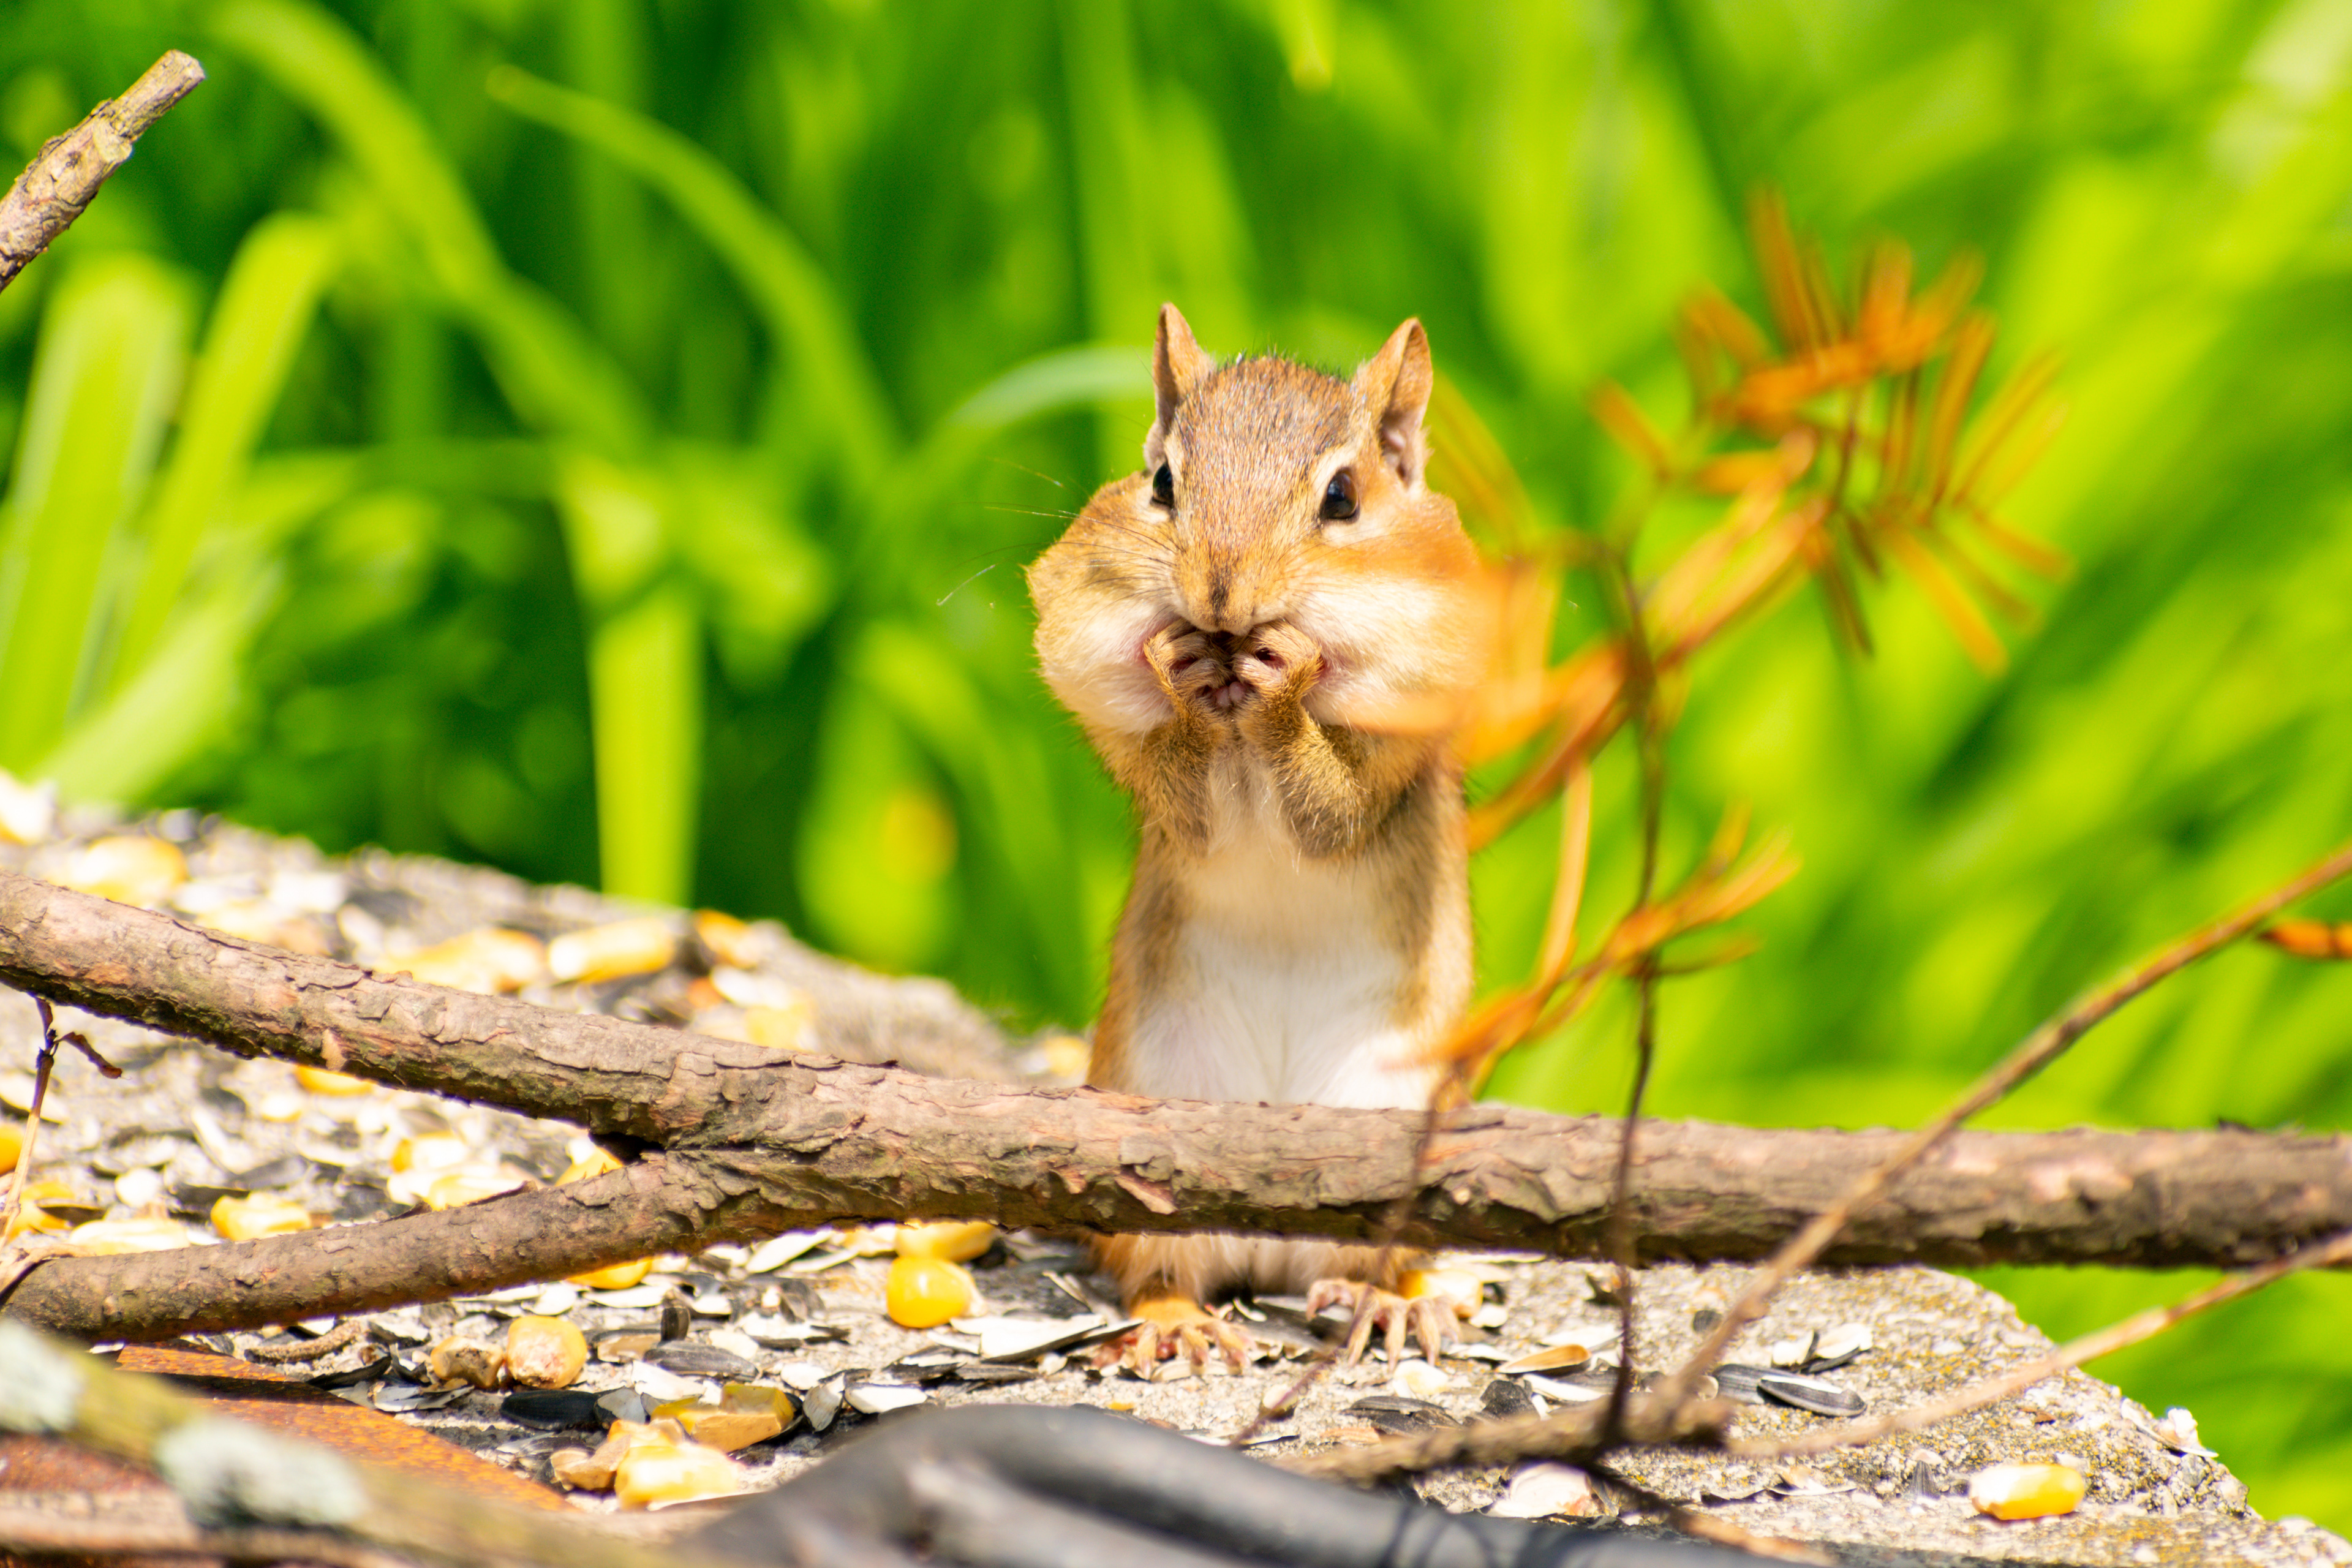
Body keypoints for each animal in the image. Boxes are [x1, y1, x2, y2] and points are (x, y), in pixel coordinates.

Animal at [1027, 304, 1487, 1369]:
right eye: (1162, 483)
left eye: (1345, 498)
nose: (1223, 598)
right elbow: (1187, 793)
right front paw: (1185, 670)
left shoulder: (1391, 765)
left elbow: (1332, 810)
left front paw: (1286, 678)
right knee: (1157, 1266)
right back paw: (1174, 1325)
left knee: (1372, 1261)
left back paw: (1389, 1301)